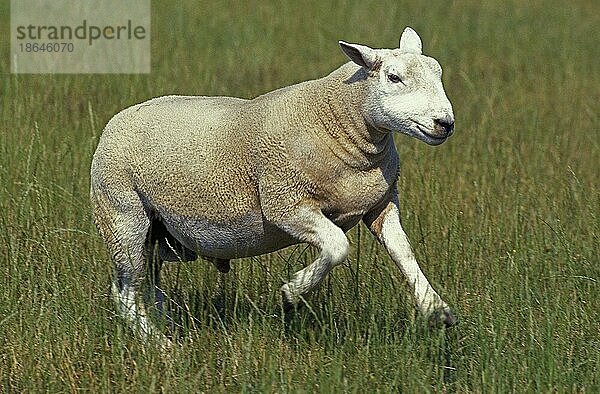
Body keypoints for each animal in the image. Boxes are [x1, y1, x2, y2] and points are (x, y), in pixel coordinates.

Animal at [89, 26, 454, 344]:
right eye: (393, 77)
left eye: (438, 74)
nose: (445, 123)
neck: (337, 122)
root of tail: (114, 123)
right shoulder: (285, 202)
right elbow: (338, 246)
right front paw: (292, 293)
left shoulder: (380, 204)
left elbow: (404, 252)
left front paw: (437, 309)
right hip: (123, 215)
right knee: (125, 291)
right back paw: (161, 345)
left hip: (157, 232)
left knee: (149, 286)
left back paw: (166, 326)